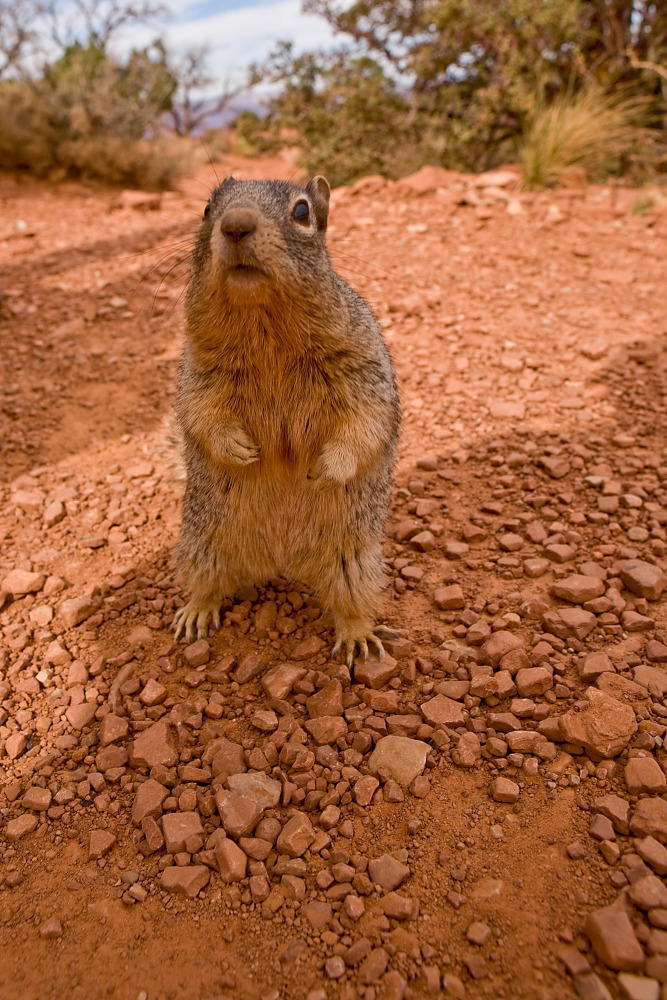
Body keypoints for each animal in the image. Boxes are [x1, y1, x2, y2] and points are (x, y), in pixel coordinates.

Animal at [174, 176, 402, 668]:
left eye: (302, 212)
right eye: (206, 209)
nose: (236, 225)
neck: (267, 331)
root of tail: (280, 562)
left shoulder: (362, 363)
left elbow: (366, 419)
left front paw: (326, 469)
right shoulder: (199, 370)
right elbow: (201, 410)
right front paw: (239, 449)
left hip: (353, 560)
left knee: (349, 602)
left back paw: (358, 636)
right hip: (201, 544)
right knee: (207, 584)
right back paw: (196, 611)